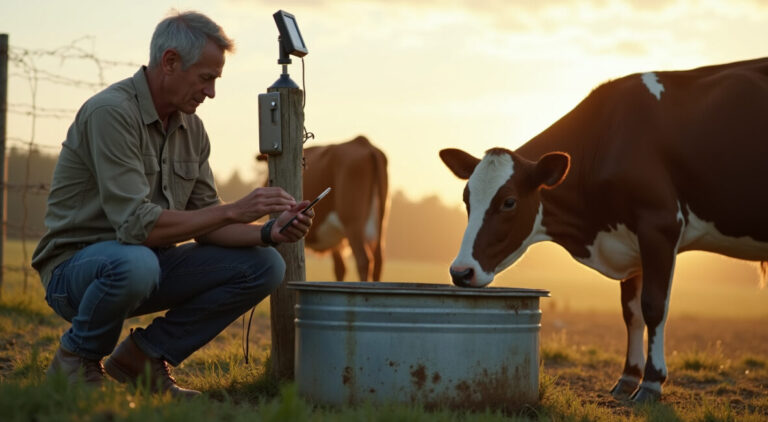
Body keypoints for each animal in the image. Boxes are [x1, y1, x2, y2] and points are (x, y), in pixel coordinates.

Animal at [439, 57, 768, 403]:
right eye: (466, 199)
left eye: (509, 202)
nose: (461, 271)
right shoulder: (629, 241)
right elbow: (631, 312)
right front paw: (628, 378)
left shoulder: (660, 225)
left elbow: (654, 306)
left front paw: (652, 383)